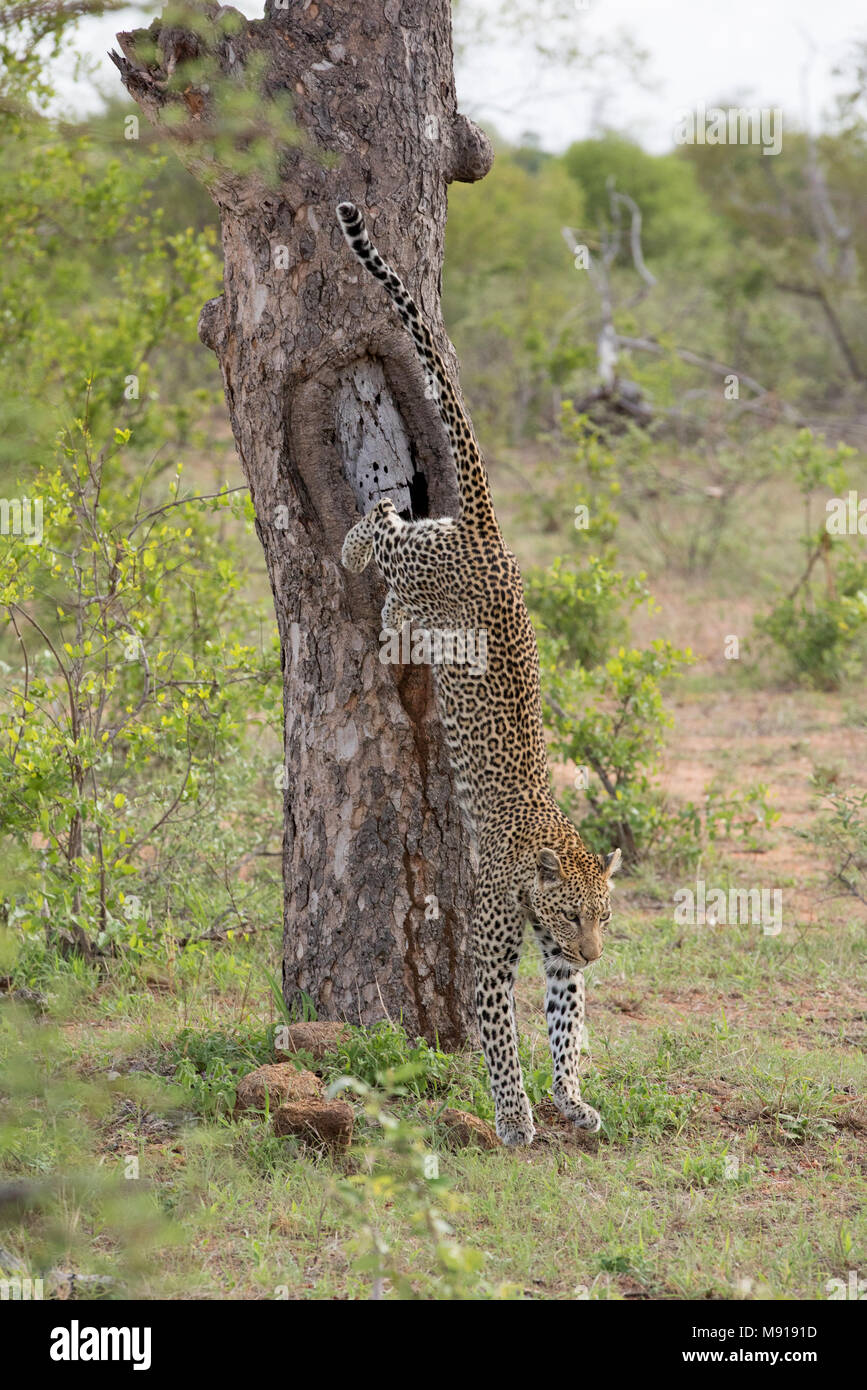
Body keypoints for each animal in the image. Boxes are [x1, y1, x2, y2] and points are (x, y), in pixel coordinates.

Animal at [336, 202, 621, 1147]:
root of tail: (492, 538)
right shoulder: (493, 949)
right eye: (570, 916)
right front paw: (515, 1116)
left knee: (399, 546)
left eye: (600, 917)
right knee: (386, 520)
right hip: (422, 556)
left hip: (433, 573)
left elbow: (565, 1026)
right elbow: (500, 1035)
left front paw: (570, 1097)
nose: (593, 951)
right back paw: (353, 549)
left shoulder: (556, 969)